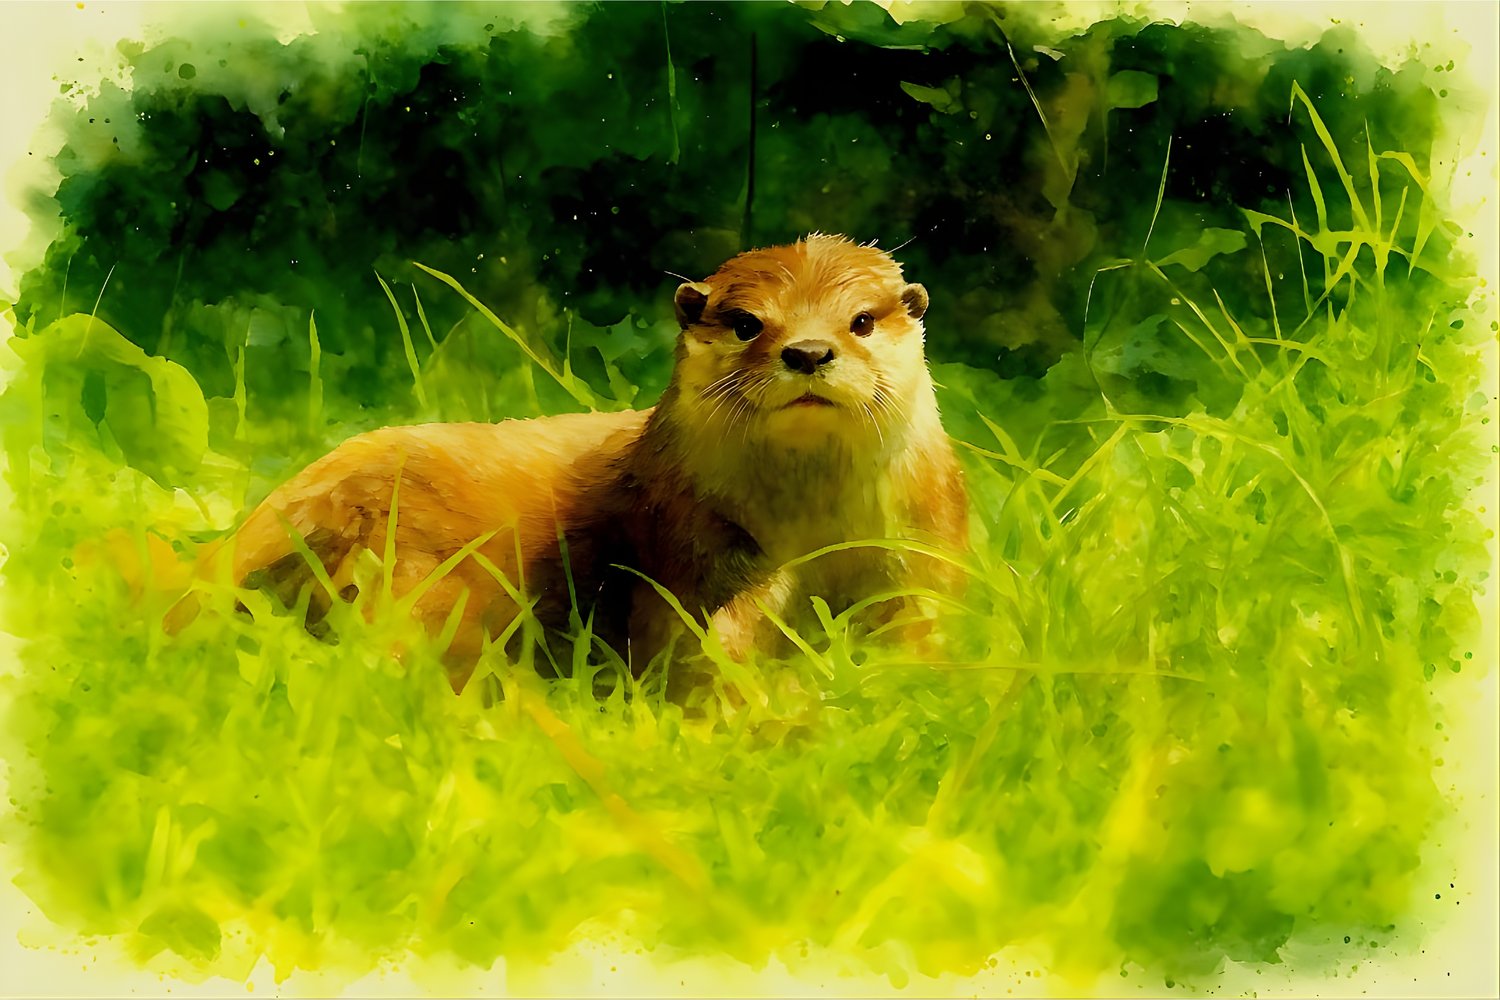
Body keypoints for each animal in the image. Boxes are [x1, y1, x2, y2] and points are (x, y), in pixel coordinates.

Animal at [223, 234, 968, 688]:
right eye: (748, 322)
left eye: (862, 320)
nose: (809, 351)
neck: (814, 528)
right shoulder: (695, 543)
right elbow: (701, 646)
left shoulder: (922, 545)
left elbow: (920, 632)